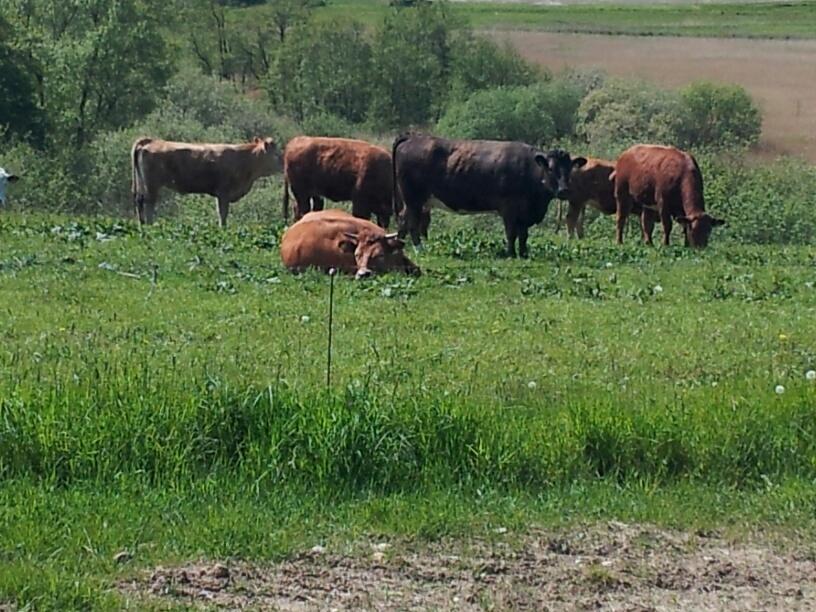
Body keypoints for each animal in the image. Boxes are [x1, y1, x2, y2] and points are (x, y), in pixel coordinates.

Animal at [132, 136, 282, 227]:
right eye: (276, 154)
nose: (283, 163)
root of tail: (152, 140)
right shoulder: (223, 193)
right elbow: (223, 213)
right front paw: (223, 229)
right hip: (152, 184)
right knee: (149, 203)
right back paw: (150, 225)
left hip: (142, 183)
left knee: (140, 201)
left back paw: (142, 224)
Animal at [396, 133, 588, 256]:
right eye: (550, 168)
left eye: (569, 168)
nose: (563, 190)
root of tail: (412, 138)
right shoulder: (509, 208)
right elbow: (511, 233)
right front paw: (511, 253)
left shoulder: (524, 213)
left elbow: (523, 235)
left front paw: (524, 253)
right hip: (413, 199)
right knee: (411, 223)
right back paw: (418, 249)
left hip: (414, 201)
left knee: (403, 219)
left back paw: (398, 246)